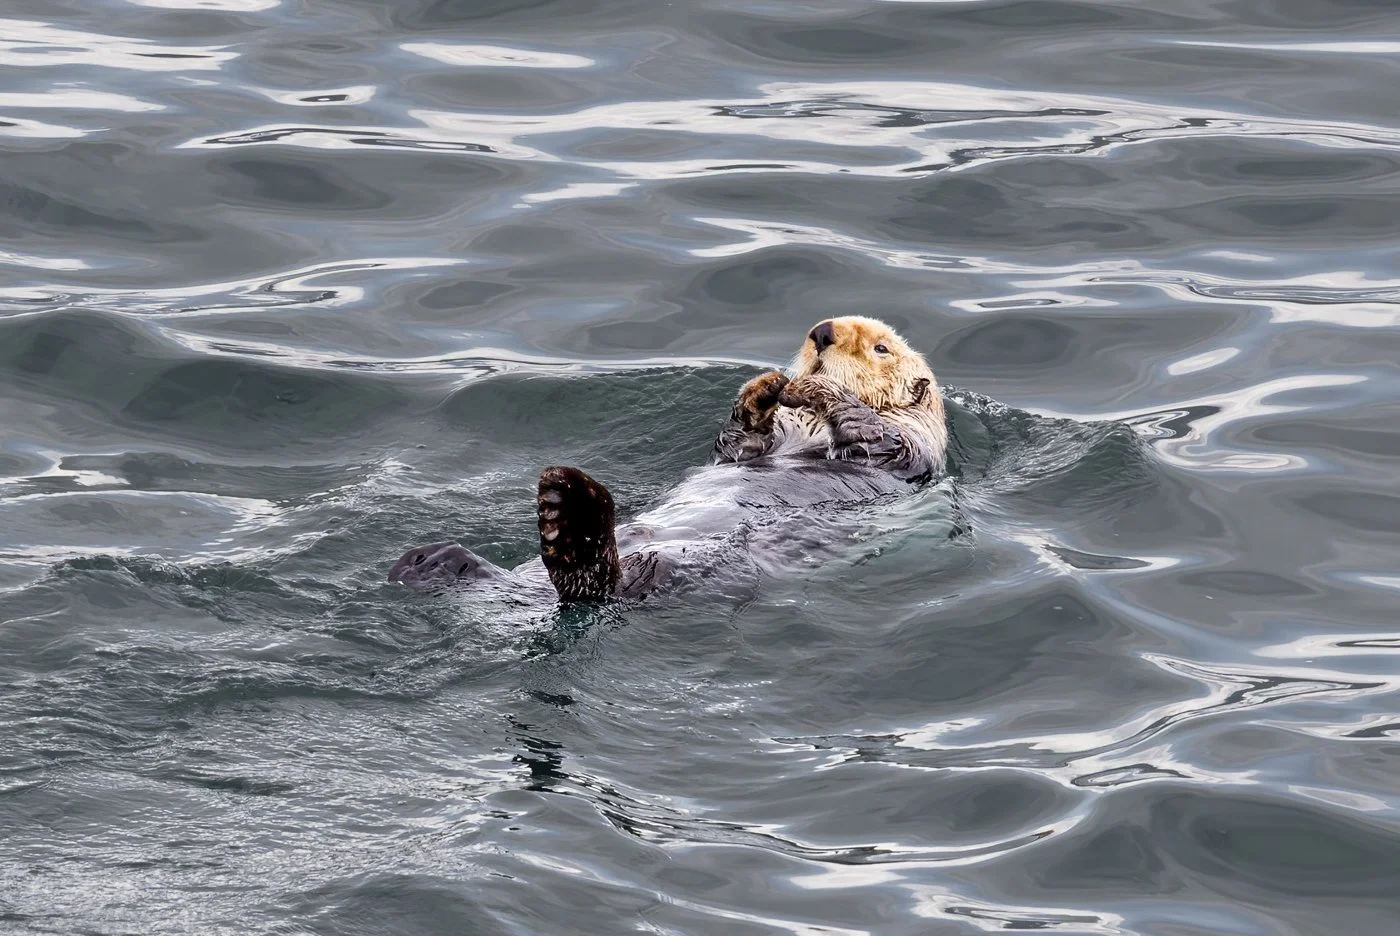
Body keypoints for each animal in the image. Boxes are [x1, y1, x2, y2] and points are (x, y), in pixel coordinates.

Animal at [388, 315, 948, 601]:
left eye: (881, 348)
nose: (822, 332)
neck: (807, 435)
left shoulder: (902, 448)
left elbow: (868, 431)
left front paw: (818, 390)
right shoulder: (751, 448)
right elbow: (739, 444)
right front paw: (763, 389)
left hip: (670, 568)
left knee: (599, 584)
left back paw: (568, 512)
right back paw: (433, 562)